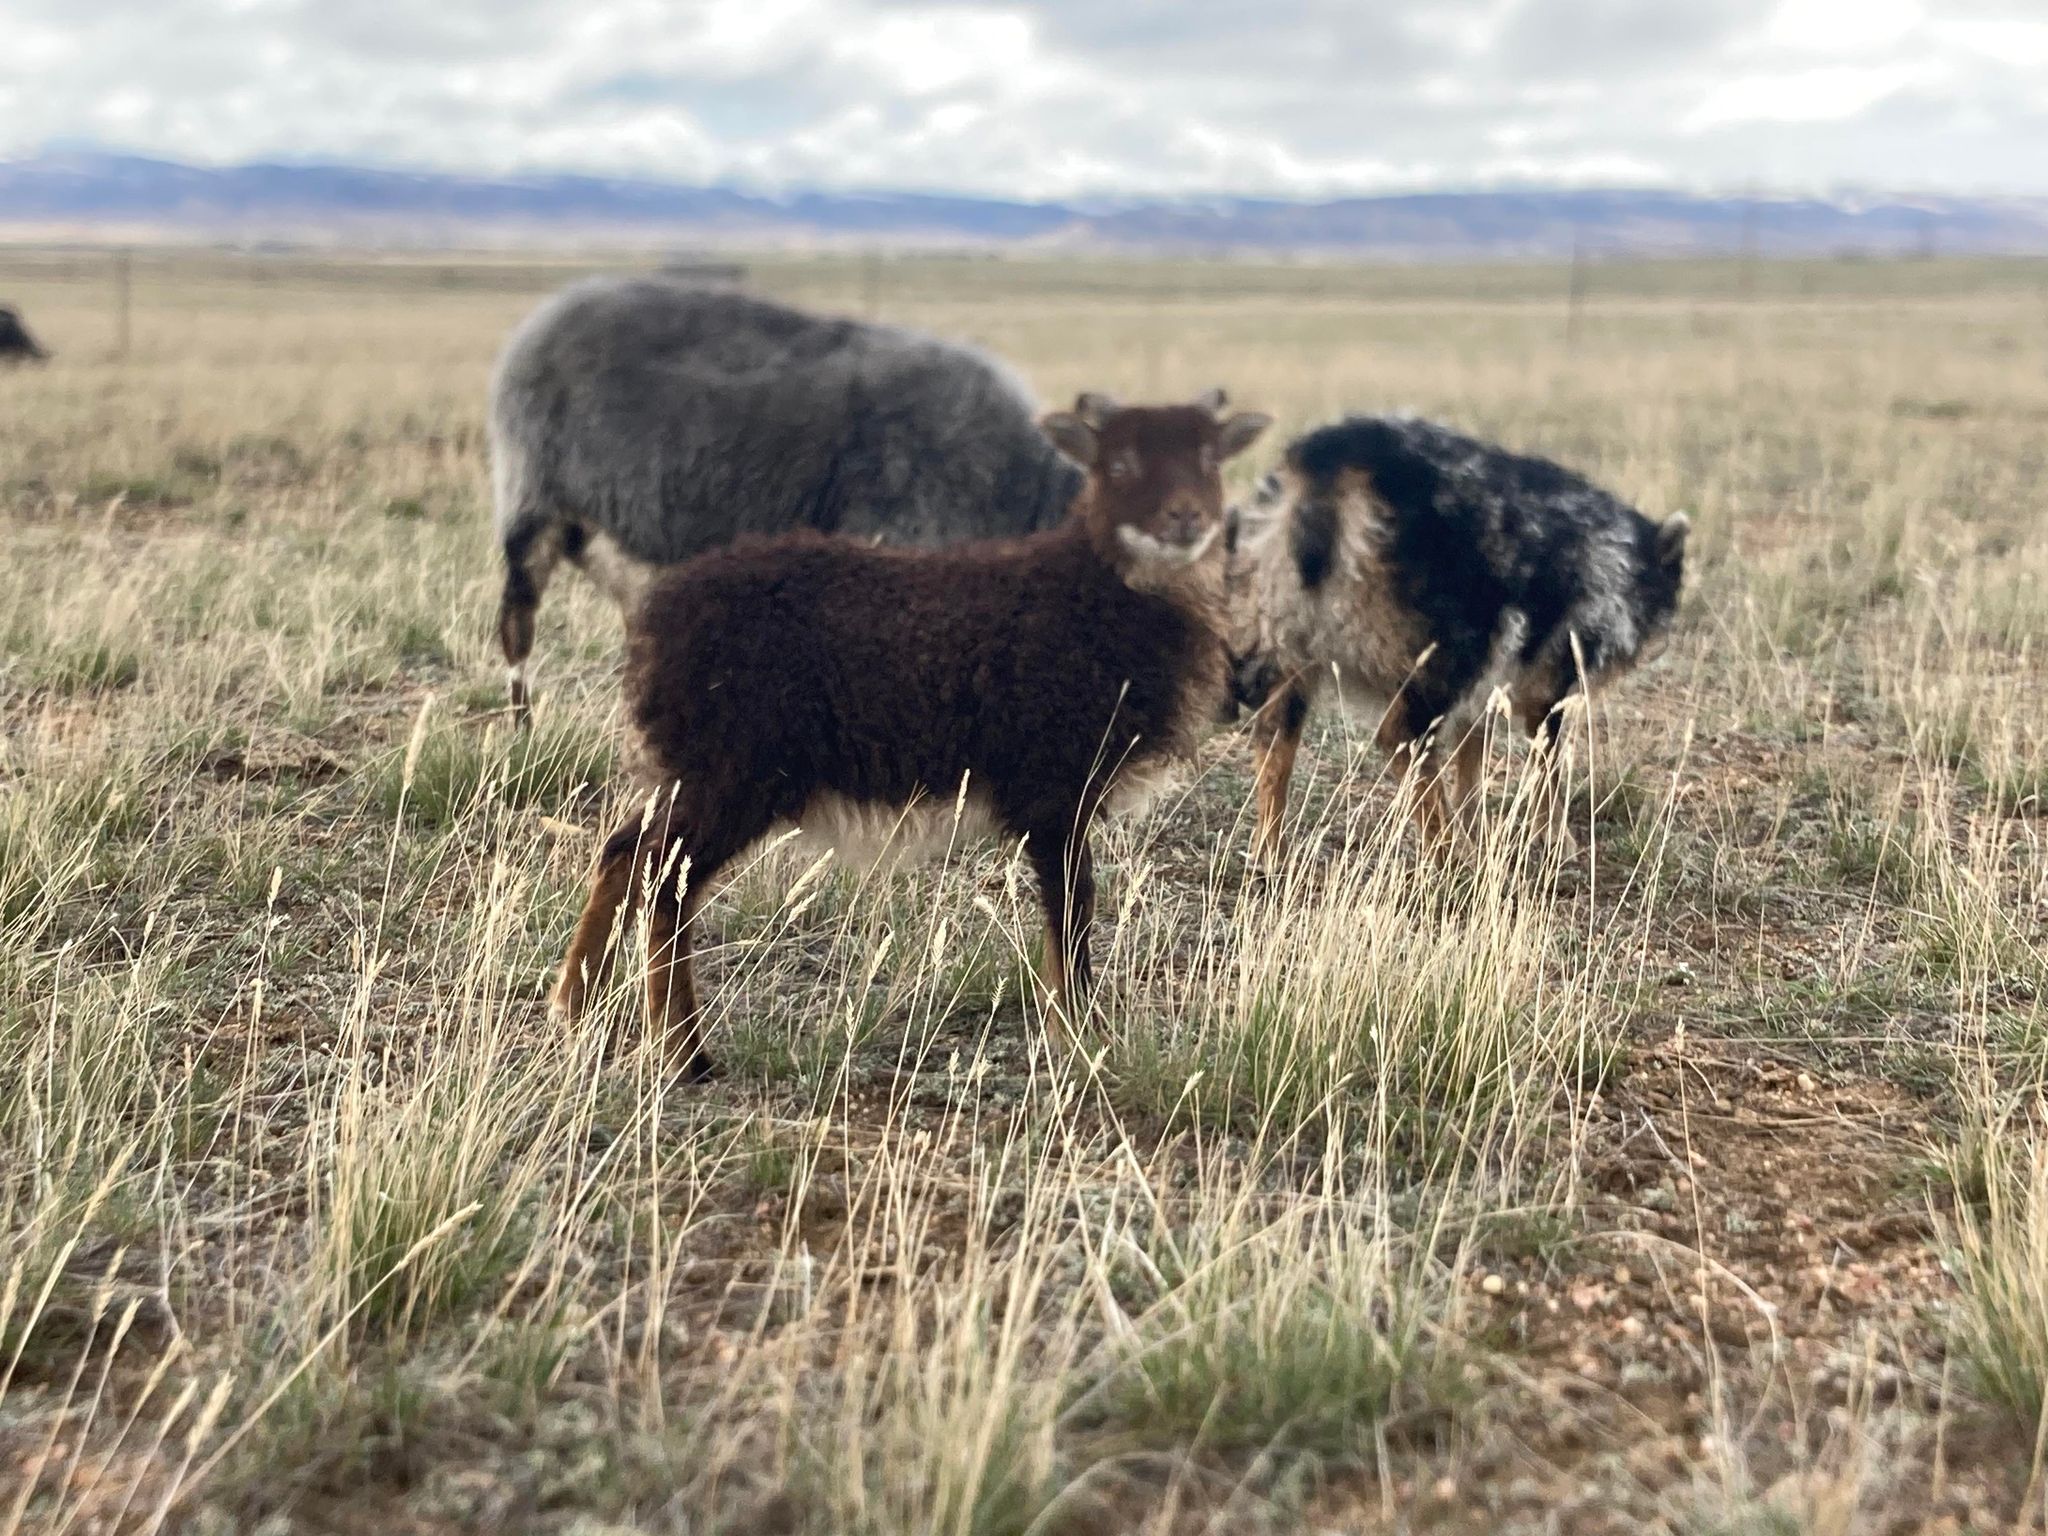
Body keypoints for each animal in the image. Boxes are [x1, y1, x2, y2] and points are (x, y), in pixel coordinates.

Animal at [552, 391, 1269, 1081]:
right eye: (1118, 465)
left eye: (1210, 459)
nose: (1185, 519)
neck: (1098, 592)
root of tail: (655, 619)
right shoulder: (1053, 784)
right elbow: (1073, 909)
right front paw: (1082, 1037)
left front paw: (1075, 1030)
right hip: (734, 770)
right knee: (664, 881)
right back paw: (683, 1055)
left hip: (697, 768)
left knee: (625, 853)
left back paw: (580, 1010)